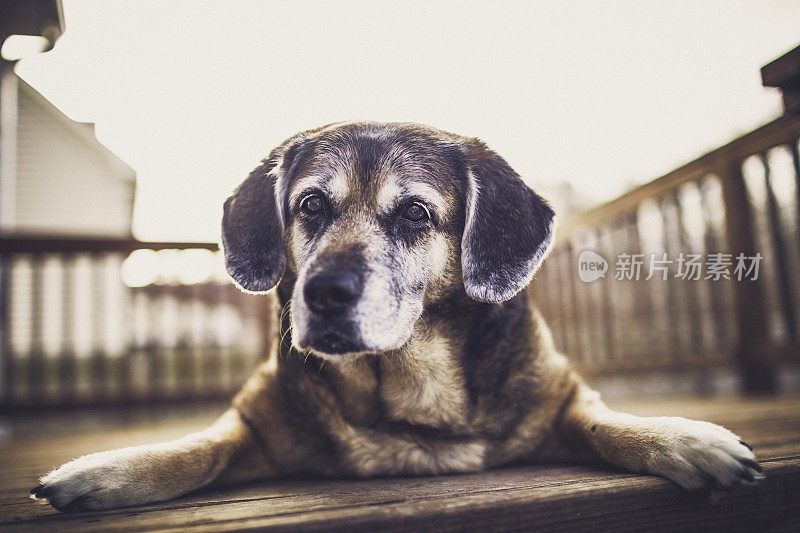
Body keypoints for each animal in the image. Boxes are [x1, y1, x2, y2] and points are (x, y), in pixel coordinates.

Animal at [31, 121, 760, 512]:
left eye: (414, 212)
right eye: (310, 205)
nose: (324, 293)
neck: (408, 393)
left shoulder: (562, 399)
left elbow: (610, 423)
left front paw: (691, 441)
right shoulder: (256, 424)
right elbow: (196, 449)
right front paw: (101, 472)